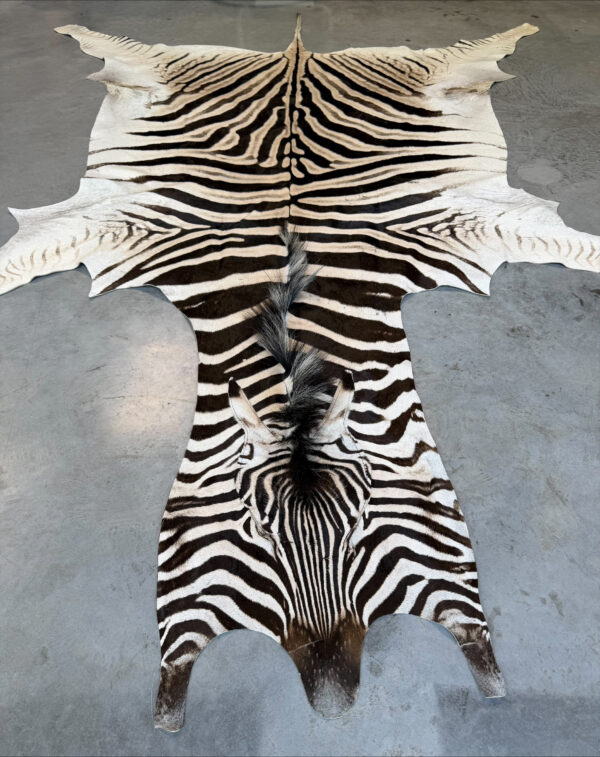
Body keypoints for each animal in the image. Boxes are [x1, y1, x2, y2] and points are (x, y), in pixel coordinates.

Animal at [0, 19, 598, 731]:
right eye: (255, 532)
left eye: (364, 519)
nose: (335, 704)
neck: (291, 343)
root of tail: (295, 54)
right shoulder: (117, 226)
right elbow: (24, 256)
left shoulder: (469, 223)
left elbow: (567, 243)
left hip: (427, 82)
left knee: (465, 59)